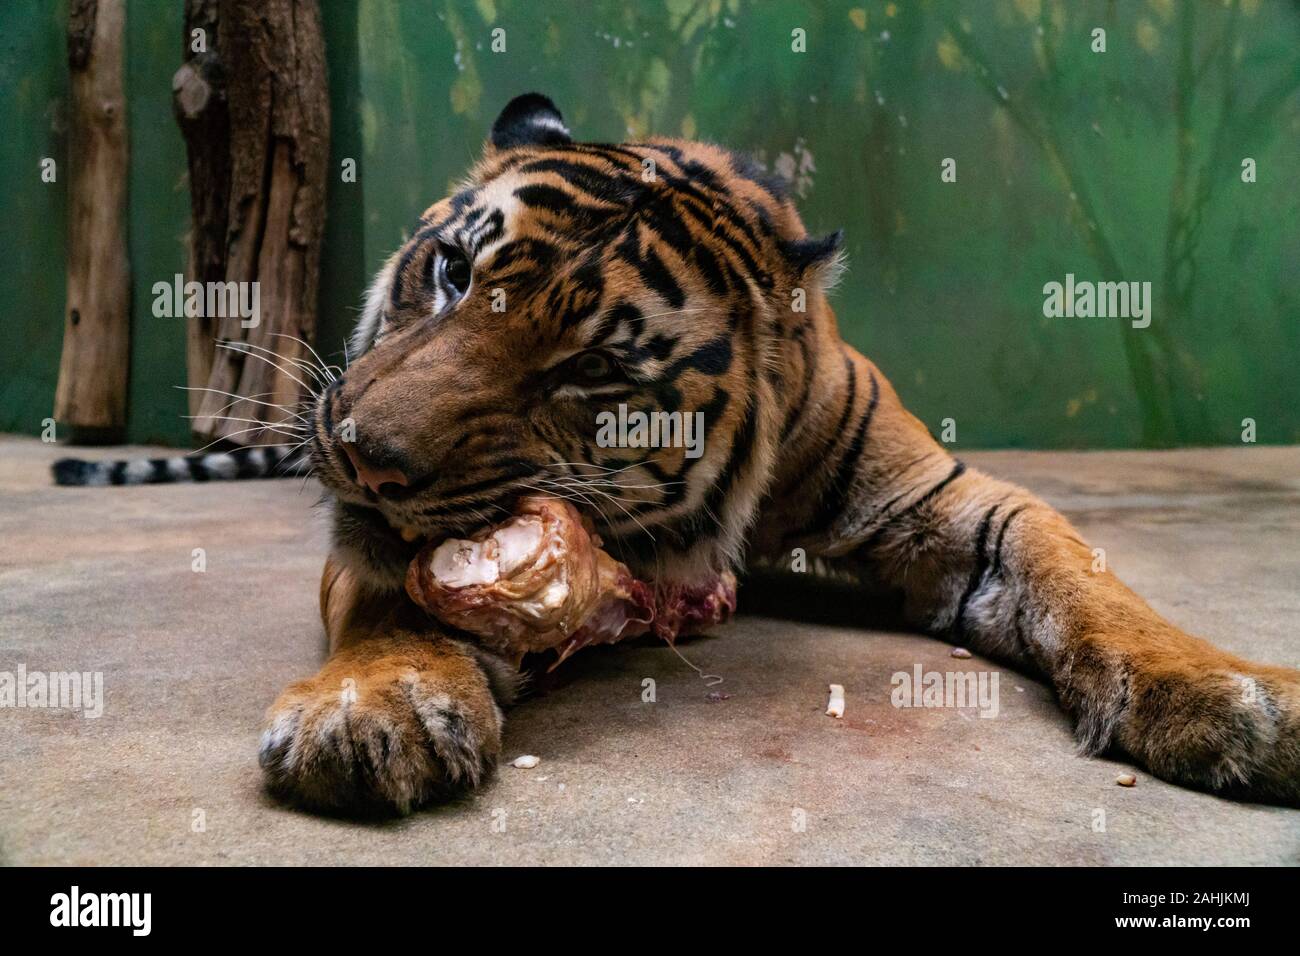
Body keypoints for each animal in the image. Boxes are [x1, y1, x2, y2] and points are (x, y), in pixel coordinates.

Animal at [55, 91, 1300, 816]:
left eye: (593, 369)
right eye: (453, 272)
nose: (364, 457)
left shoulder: (945, 498)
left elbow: (1085, 578)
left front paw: (1234, 694)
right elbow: (390, 598)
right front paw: (371, 710)